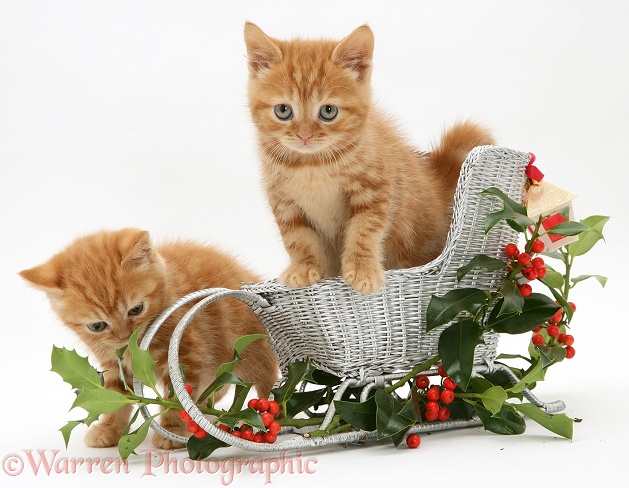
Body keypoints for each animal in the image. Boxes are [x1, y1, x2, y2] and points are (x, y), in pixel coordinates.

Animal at [19, 229, 278, 450]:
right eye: (97, 326)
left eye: (136, 309)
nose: (124, 336)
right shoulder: (114, 363)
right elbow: (116, 397)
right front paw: (108, 429)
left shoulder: (187, 354)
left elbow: (177, 396)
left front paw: (172, 430)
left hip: (251, 349)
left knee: (265, 380)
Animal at [243, 22, 494, 294]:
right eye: (283, 110)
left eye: (328, 111)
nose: (305, 136)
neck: (313, 164)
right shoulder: (283, 201)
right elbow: (295, 236)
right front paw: (303, 267)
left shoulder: (375, 189)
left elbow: (364, 229)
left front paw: (363, 270)